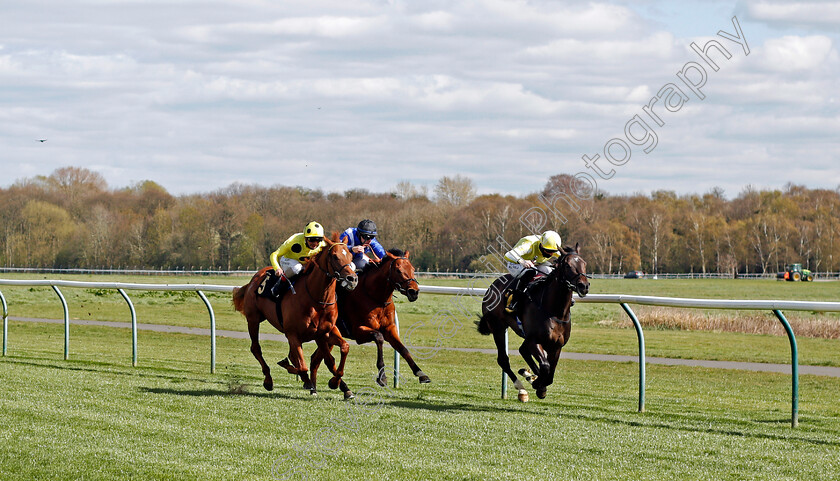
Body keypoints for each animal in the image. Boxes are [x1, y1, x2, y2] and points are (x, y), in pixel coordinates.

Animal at [231, 236, 360, 398]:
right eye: (335, 256)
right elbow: (303, 366)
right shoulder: (293, 334)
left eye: (350, 256)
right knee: (256, 348)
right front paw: (309, 382)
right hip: (253, 319)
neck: (316, 299)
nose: (352, 279)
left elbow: (339, 352)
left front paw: (337, 384)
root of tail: (254, 278)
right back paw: (268, 380)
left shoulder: (325, 332)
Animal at [312, 248, 426, 386]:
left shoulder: (390, 328)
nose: (414, 292)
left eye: (413, 269)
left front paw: (421, 373)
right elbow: (379, 337)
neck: (376, 298)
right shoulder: (359, 331)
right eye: (398, 270)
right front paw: (382, 377)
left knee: (315, 359)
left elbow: (403, 349)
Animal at [476, 244, 588, 402]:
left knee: (523, 352)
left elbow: (550, 373)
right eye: (567, 265)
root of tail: (493, 285)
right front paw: (537, 384)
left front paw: (537, 382)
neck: (554, 311)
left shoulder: (556, 346)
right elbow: (545, 367)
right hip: (498, 328)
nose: (584, 285)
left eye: (584, 263)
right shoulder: (534, 340)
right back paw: (522, 388)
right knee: (503, 359)